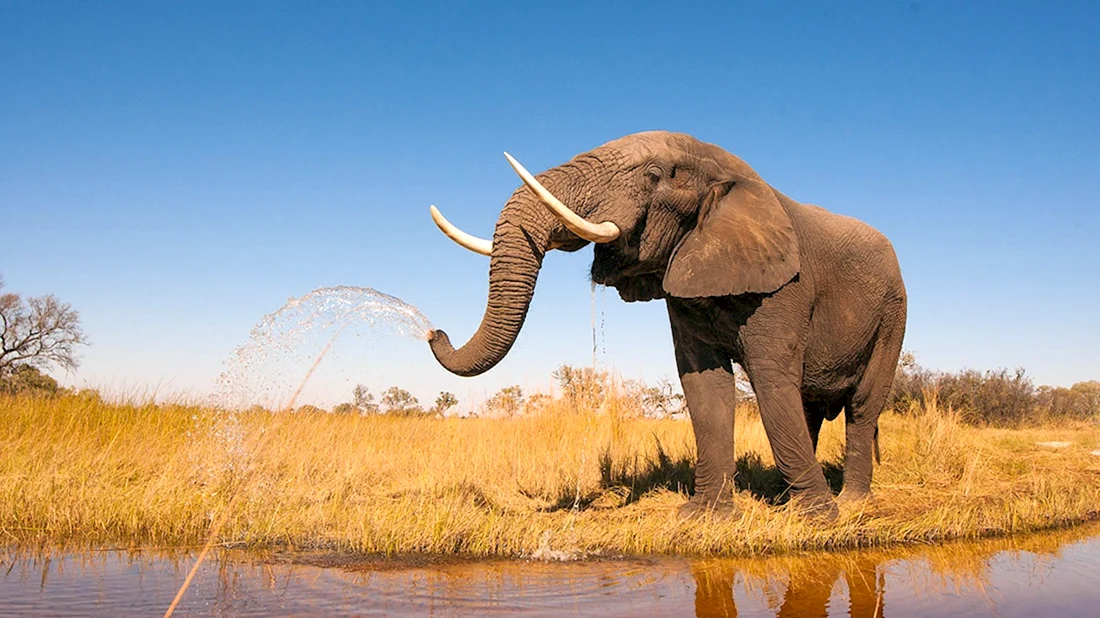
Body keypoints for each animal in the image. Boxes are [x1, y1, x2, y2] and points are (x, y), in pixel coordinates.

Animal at [426, 131, 907, 521]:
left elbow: (771, 380)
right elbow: (704, 384)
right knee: (808, 406)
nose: (434, 332)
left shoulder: (786, 286)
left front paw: (817, 520)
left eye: (655, 174)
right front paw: (703, 517)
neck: (730, 171)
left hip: (893, 315)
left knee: (861, 405)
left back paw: (848, 503)